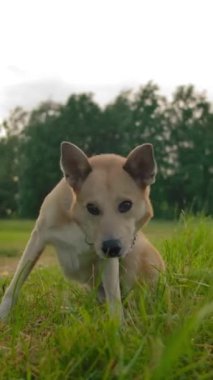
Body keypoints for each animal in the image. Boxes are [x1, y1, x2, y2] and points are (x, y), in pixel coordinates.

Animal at [0, 142, 165, 320]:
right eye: (92, 207)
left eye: (126, 205)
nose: (111, 248)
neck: (81, 227)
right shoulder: (38, 238)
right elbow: (14, 285)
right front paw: (3, 317)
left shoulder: (108, 261)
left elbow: (114, 297)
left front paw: (117, 325)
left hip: (137, 254)